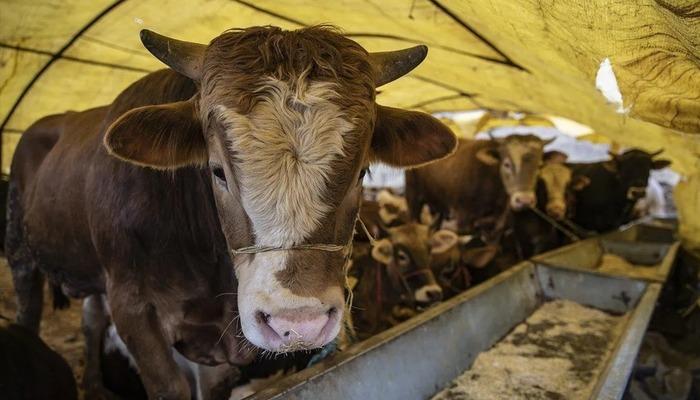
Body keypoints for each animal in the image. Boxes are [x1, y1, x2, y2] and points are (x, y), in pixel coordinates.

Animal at [8, 26, 456, 398]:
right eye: (217, 171)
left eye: (362, 171)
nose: (300, 323)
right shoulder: (132, 306)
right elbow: (169, 386)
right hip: (21, 254)